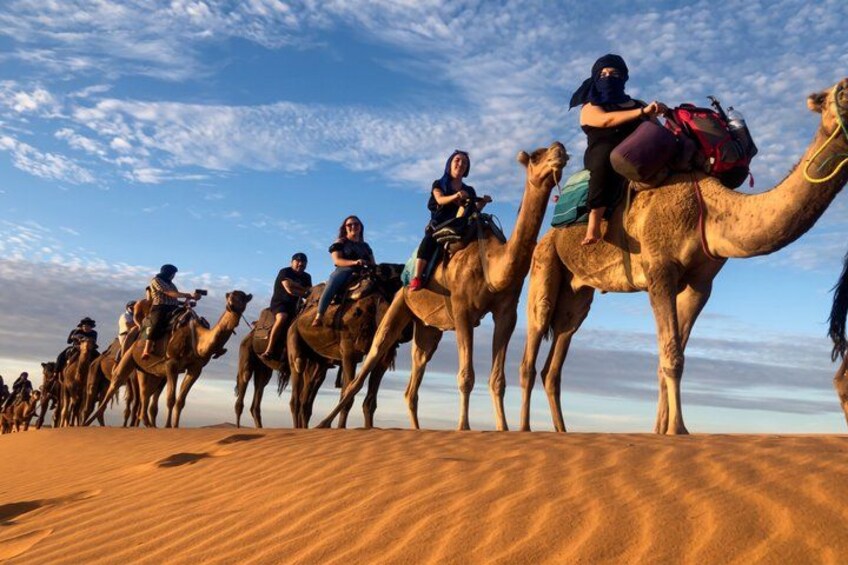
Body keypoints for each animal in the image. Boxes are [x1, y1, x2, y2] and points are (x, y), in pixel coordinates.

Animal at [85, 291, 251, 427]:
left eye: (243, 299)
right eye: (230, 297)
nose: (232, 306)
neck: (196, 338)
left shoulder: (196, 368)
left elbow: (180, 401)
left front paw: (174, 427)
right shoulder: (172, 363)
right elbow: (171, 399)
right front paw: (167, 426)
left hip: (145, 370)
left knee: (143, 397)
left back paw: (148, 425)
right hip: (127, 357)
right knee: (115, 384)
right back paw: (88, 421)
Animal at [288, 264, 408, 428]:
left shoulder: (384, 357)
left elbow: (369, 402)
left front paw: (368, 428)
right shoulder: (349, 351)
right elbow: (348, 394)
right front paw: (340, 428)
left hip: (318, 360)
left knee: (306, 399)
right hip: (294, 338)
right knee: (297, 378)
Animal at [319, 141, 568, 430]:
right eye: (537, 155)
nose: (560, 150)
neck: (492, 263)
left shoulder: (506, 312)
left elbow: (497, 380)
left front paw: (503, 429)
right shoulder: (462, 309)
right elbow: (466, 376)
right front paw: (463, 428)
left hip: (428, 328)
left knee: (414, 378)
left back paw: (415, 428)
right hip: (399, 304)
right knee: (372, 357)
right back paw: (323, 422)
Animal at [518, 79, 848, 435]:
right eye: (843, 91)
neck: (709, 207)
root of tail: (550, 234)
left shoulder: (700, 283)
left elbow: (673, 355)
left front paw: (662, 430)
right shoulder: (660, 269)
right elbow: (672, 356)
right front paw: (678, 429)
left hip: (578, 297)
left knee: (557, 358)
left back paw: (561, 430)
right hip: (544, 265)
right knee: (532, 344)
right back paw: (523, 428)